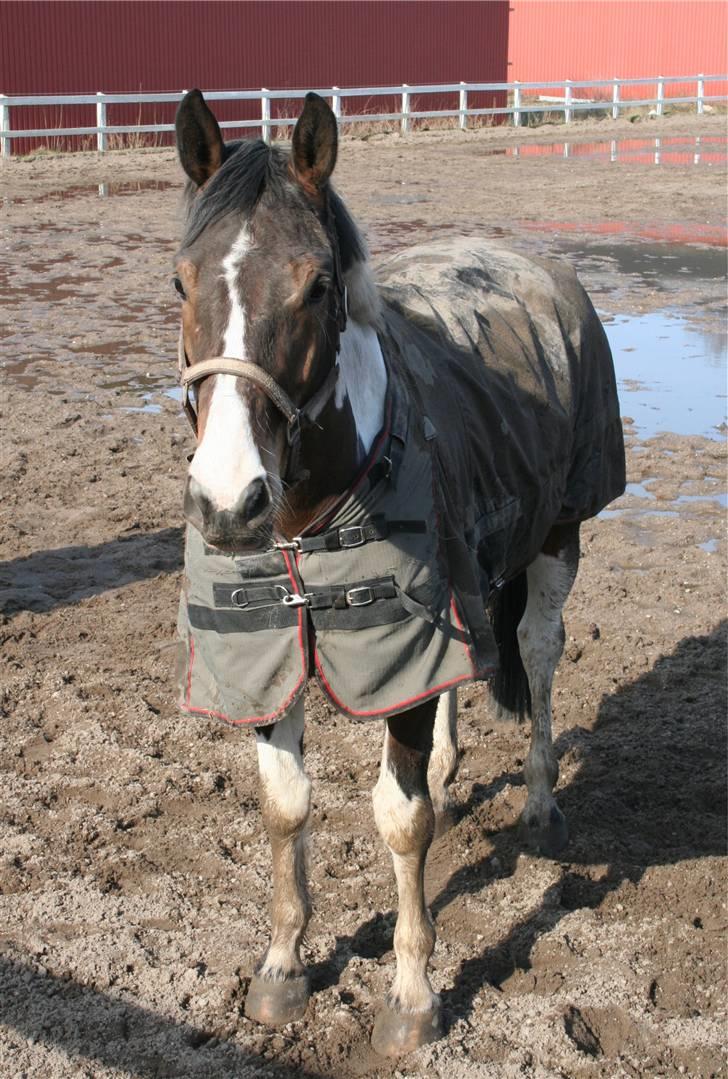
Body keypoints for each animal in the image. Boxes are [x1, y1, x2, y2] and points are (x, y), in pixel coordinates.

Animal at [170, 90, 625, 1053]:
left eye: (316, 286)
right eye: (181, 282)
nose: (228, 501)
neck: (308, 517)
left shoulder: (400, 646)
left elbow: (398, 818)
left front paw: (412, 993)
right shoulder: (270, 652)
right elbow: (286, 804)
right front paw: (282, 968)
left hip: (558, 536)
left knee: (540, 651)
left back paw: (539, 802)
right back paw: (455, 773)